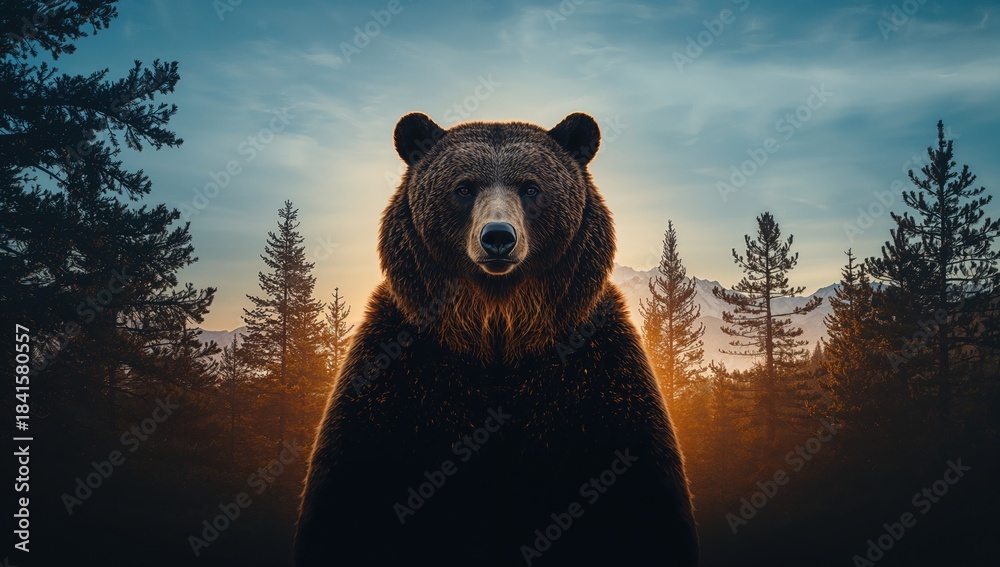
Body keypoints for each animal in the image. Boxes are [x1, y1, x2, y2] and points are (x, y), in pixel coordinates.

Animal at [295, 112, 698, 566]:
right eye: (463, 187)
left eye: (531, 187)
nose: (499, 237)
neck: (498, 326)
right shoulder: (396, 373)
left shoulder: (598, 373)